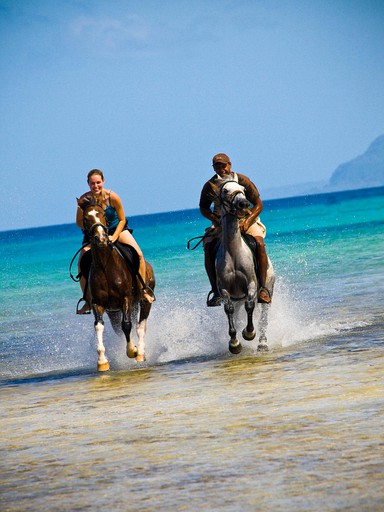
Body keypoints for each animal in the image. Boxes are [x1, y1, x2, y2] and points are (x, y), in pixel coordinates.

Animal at [79, 198, 155, 370]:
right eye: (85, 219)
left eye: (103, 215)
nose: (101, 238)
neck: (106, 266)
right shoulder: (99, 304)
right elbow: (99, 325)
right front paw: (102, 362)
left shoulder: (125, 299)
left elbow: (126, 325)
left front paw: (132, 351)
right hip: (116, 311)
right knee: (121, 328)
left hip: (144, 301)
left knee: (141, 326)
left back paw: (140, 353)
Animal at [216, 179, 272, 352]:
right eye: (225, 190)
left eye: (243, 189)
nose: (244, 204)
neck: (234, 252)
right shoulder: (225, 289)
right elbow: (229, 311)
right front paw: (234, 343)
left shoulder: (252, 284)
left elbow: (250, 305)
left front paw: (248, 333)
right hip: (237, 298)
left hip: (267, 292)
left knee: (263, 317)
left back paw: (262, 343)